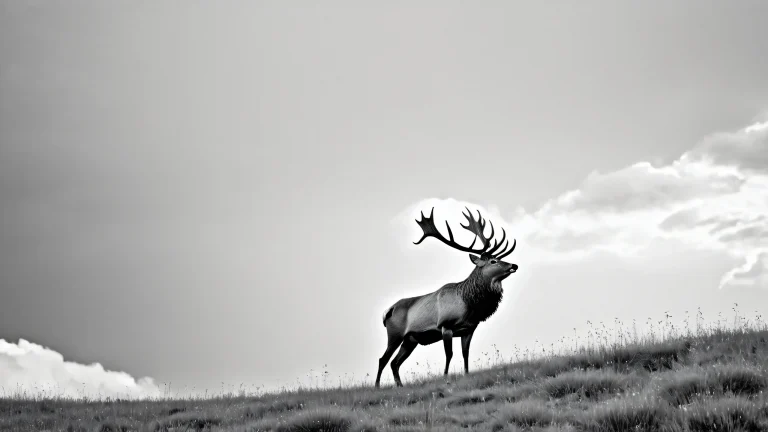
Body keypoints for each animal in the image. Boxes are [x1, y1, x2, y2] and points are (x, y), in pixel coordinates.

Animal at [375, 207, 518, 388]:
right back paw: (377, 386)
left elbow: (465, 353)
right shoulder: (445, 325)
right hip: (395, 334)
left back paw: (399, 385)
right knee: (383, 359)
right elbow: (449, 354)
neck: (469, 305)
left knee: (395, 362)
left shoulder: (469, 329)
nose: (514, 265)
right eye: (493, 261)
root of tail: (387, 311)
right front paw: (445, 377)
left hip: (410, 340)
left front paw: (466, 374)